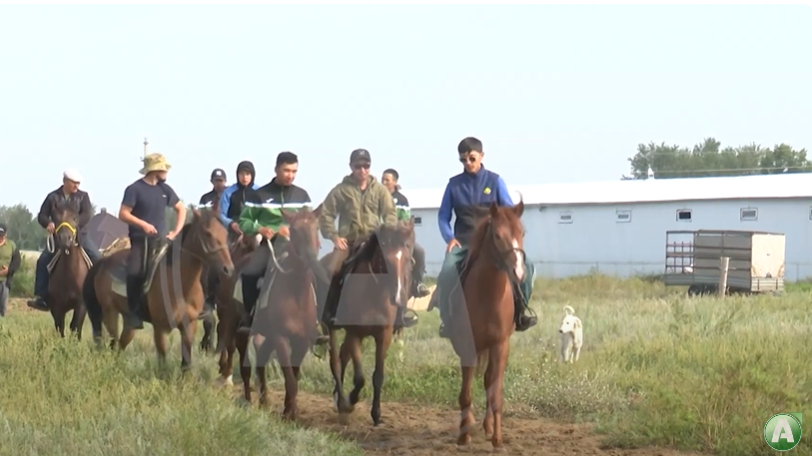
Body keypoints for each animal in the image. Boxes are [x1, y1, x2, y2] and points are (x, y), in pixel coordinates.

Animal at [43, 202, 90, 338]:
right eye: (54, 218)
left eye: (75, 218)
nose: (65, 238)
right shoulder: (57, 306)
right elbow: (60, 328)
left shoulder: (81, 305)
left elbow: (76, 327)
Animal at [83, 205, 235, 372]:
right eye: (207, 233)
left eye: (225, 233)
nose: (228, 269)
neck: (181, 285)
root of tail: (104, 261)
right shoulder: (161, 329)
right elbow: (163, 360)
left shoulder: (189, 326)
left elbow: (186, 362)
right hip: (110, 312)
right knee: (113, 342)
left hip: (128, 321)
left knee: (120, 345)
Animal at [233, 207, 328, 420]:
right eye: (294, 230)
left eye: (316, 227)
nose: (310, 256)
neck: (296, 294)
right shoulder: (281, 338)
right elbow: (290, 378)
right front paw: (289, 415)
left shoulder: (302, 342)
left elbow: (294, 375)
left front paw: (289, 410)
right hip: (235, 328)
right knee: (245, 367)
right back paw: (248, 400)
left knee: (261, 360)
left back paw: (264, 401)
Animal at [322, 219, 416, 426]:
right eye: (384, 259)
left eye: (407, 258)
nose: (398, 298)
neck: (373, 294)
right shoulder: (354, 333)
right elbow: (359, 378)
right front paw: (350, 401)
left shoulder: (384, 335)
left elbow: (377, 376)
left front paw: (376, 414)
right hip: (332, 328)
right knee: (336, 362)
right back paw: (340, 400)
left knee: (343, 356)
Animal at [450, 199, 528, 448]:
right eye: (497, 235)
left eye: (522, 232)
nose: (518, 272)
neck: (487, 294)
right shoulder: (468, 345)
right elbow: (465, 393)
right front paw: (464, 435)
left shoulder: (501, 345)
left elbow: (495, 394)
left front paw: (497, 439)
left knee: (487, 381)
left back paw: (488, 426)